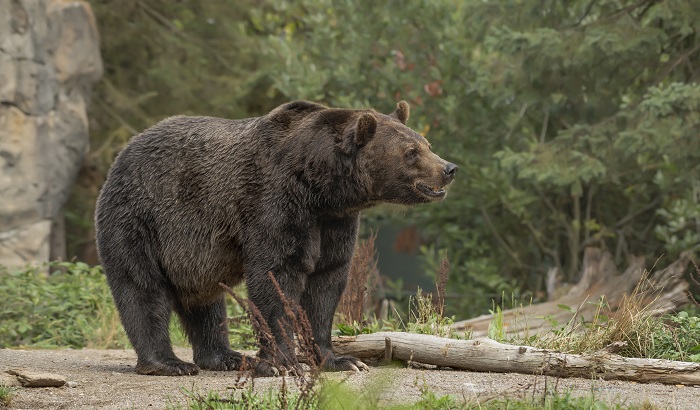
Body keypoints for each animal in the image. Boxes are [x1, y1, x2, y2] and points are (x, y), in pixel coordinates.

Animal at [94, 100, 457, 377]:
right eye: (411, 151)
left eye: (426, 144)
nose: (449, 168)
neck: (320, 188)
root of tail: (123, 152)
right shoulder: (275, 203)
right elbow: (276, 277)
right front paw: (282, 363)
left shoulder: (334, 223)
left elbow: (326, 283)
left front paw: (341, 360)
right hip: (140, 219)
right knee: (142, 288)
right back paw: (168, 363)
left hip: (193, 255)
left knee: (206, 302)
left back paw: (226, 356)